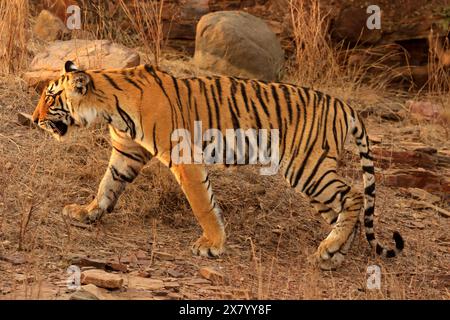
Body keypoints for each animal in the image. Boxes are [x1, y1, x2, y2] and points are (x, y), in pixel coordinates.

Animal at [31, 60, 404, 270]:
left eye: (50, 97)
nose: (34, 119)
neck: (110, 107)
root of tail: (345, 105)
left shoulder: (184, 157)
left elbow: (203, 204)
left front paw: (211, 245)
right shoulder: (127, 152)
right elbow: (107, 185)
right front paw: (85, 213)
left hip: (306, 167)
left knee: (353, 196)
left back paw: (329, 249)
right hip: (314, 175)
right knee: (344, 210)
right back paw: (333, 255)